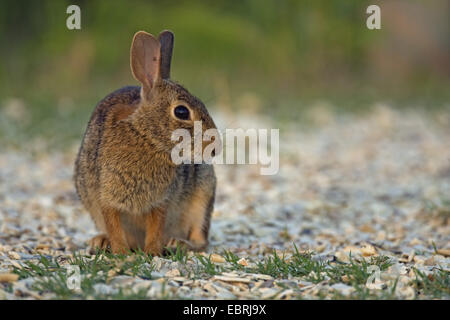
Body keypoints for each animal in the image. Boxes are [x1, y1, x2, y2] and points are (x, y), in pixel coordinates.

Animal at [74, 30, 220, 255]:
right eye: (181, 112)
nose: (215, 148)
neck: (145, 136)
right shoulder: (106, 198)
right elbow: (114, 226)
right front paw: (121, 252)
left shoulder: (161, 201)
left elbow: (156, 226)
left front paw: (152, 252)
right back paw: (101, 242)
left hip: (202, 196)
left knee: (200, 239)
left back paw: (178, 244)